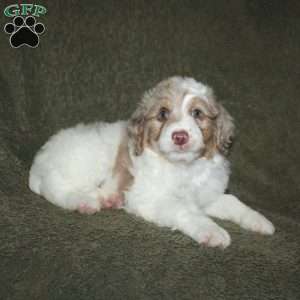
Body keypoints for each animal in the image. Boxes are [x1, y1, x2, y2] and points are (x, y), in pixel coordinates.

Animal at [29, 77, 276, 248]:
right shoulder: (151, 198)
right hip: (85, 162)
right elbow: (185, 211)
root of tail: (39, 160)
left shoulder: (208, 196)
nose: (180, 136)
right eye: (163, 114)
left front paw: (259, 221)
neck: (184, 168)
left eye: (197, 113)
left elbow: (233, 202)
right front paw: (212, 231)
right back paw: (83, 201)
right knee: (55, 188)